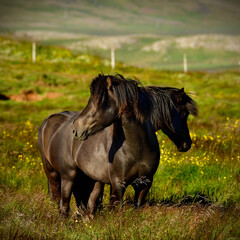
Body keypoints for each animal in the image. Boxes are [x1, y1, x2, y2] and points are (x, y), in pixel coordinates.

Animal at [38, 73, 198, 216]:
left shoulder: (145, 184)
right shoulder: (118, 184)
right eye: (185, 113)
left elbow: (136, 208)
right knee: (62, 205)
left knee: (88, 207)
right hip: (64, 176)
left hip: (91, 181)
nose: (77, 128)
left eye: (99, 102)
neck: (136, 148)